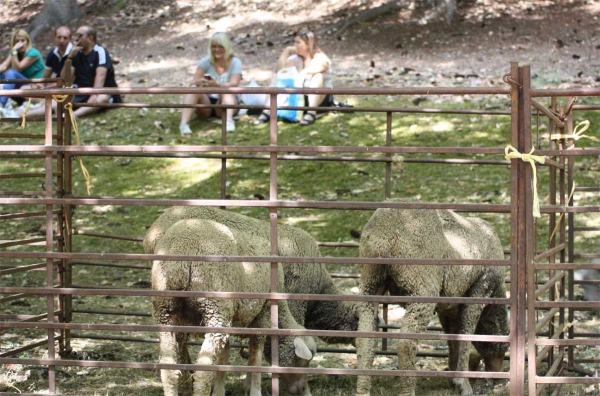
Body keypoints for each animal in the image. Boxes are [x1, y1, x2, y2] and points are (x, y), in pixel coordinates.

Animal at [144, 209, 318, 394]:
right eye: (302, 362)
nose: (304, 391)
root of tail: (181, 255)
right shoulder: (263, 313)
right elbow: (255, 355)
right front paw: (255, 391)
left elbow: (225, 355)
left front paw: (220, 390)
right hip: (215, 308)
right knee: (203, 371)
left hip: (165, 309)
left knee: (168, 367)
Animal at [356, 203, 510, 396]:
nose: (500, 377)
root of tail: (385, 233)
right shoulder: (480, 288)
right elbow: (465, 335)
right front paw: (463, 383)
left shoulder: (449, 306)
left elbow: (454, 338)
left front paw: (454, 377)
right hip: (421, 288)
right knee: (405, 344)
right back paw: (408, 390)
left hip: (370, 283)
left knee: (365, 338)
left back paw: (362, 390)